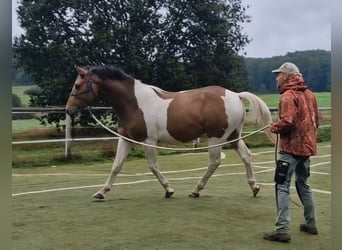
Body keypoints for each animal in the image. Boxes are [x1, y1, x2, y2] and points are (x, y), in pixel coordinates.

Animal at [66, 65, 276, 200]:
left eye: (77, 85)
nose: (69, 110)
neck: (134, 103)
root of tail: (235, 95)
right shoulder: (126, 139)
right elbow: (116, 166)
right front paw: (101, 192)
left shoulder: (149, 141)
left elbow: (153, 166)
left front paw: (169, 190)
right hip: (233, 136)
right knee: (246, 156)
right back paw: (254, 187)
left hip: (216, 137)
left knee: (214, 162)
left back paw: (196, 190)